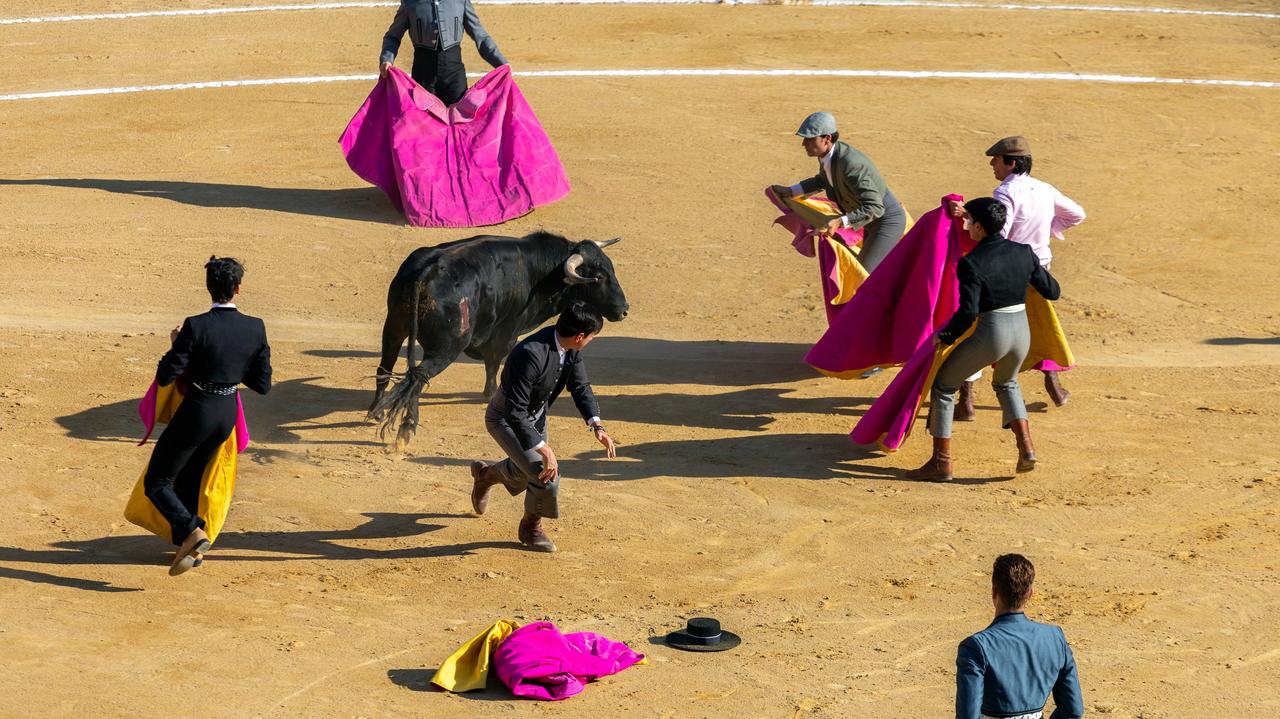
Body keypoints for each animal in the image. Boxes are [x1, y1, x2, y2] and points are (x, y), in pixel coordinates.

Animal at [368, 229, 627, 442]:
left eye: (611, 269)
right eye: (599, 277)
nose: (624, 309)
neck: (539, 272)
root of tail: (425, 272)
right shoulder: (506, 333)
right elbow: (494, 364)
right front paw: (491, 394)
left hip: (393, 328)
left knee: (385, 367)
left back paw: (376, 412)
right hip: (447, 347)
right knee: (418, 378)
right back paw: (408, 426)